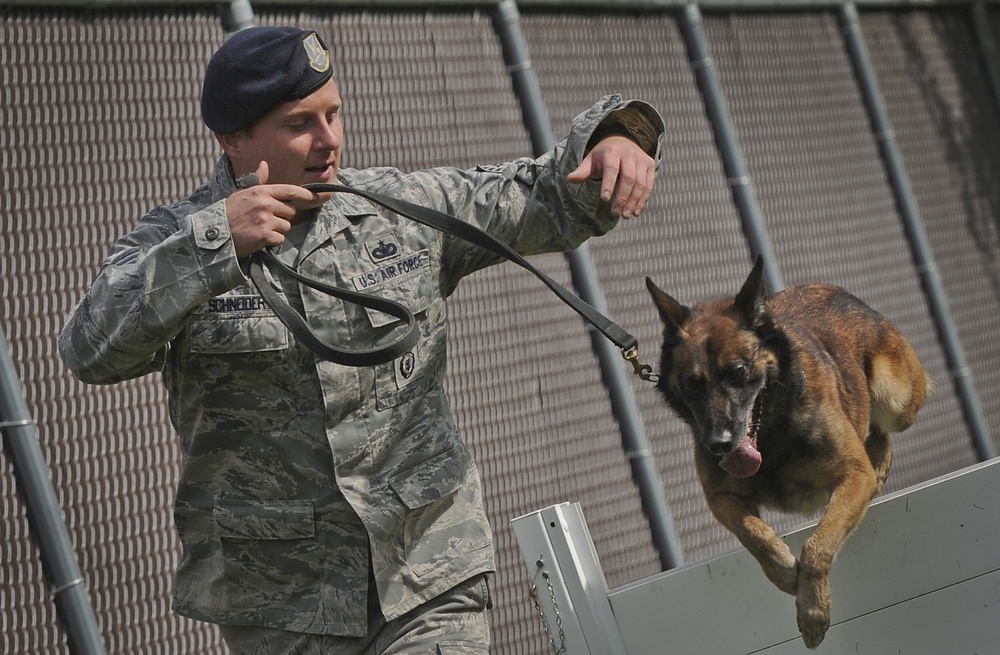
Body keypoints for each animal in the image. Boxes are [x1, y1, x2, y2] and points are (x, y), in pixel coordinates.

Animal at [648, 255, 928, 644]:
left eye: (737, 372)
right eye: (692, 385)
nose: (719, 443)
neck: (771, 437)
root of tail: (830, 288)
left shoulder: (853, 477)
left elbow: (818, 545)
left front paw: (812, 609)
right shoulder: (721, 498)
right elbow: (754, 534)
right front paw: (783, 570)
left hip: (896, 399)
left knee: (883, 431)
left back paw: (880, 465)